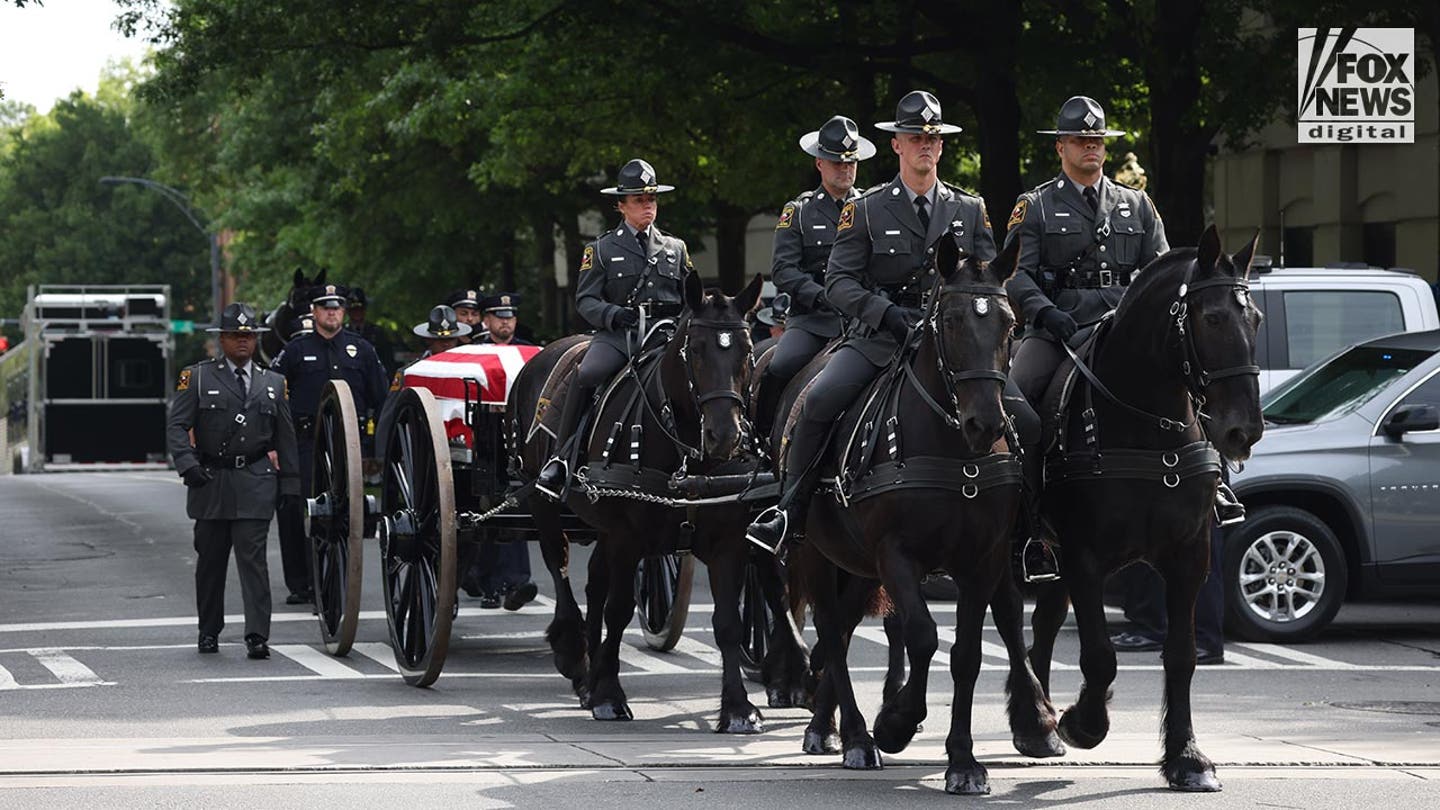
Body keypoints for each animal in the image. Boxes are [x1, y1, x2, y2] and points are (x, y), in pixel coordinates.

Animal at [509, 273, 806, 729]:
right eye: (695, 349)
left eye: (746, 351)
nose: (725, 435)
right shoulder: (626, 538)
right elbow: (619, 609)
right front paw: (609, 696)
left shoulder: (727, 540)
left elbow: (728, 622)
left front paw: (738, 708)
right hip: (545, 505)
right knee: (560, 568)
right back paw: (576, 657)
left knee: (594, 581)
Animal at [777, 236, 1059, 789]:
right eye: (949, 322)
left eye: (1009, 324)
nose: (986, 422)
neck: (954, 448)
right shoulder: (897, 556)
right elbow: (924, 635)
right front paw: (896, 721)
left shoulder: (983, 558)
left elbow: (967, 652)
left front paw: (964, 760)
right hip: (820, 553)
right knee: (831, 631)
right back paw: (854, 736)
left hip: (859, 563)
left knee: (846, 624)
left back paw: (829, 723)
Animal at [1025, 224, 1261, 789]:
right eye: (1213, 317)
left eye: (1256, 319)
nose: (1243, 430)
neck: (1149, 429)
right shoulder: (1085, 558)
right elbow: (1100, 656)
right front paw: (1084, 722)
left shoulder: (1189, 558)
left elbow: (1181, 656)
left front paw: (1186, 757)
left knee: (1042, 625)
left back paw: (1035, 727)